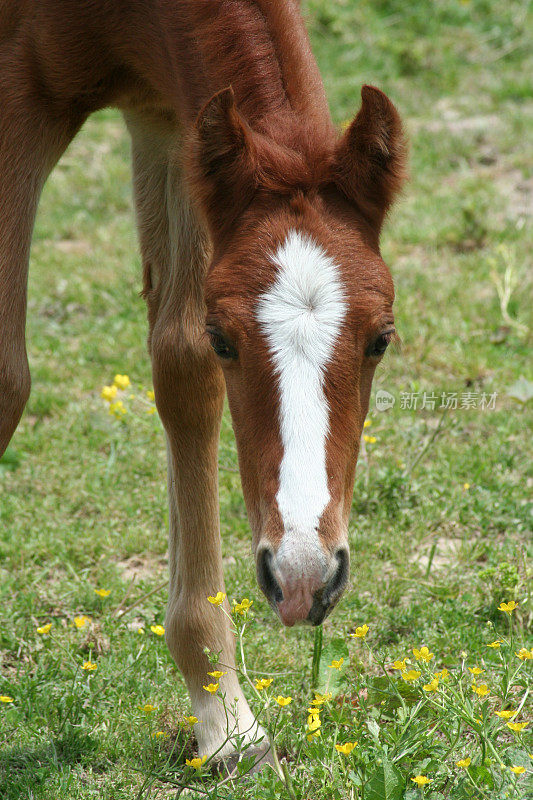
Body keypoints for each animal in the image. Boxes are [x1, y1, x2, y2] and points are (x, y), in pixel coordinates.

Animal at [0, 0, 404, 764]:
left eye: (380, 339)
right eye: (228, 340)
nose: (303, 578)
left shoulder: (168, 116)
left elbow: (179, 367)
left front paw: (226, 717)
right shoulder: (23, 95)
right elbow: (8, 376)